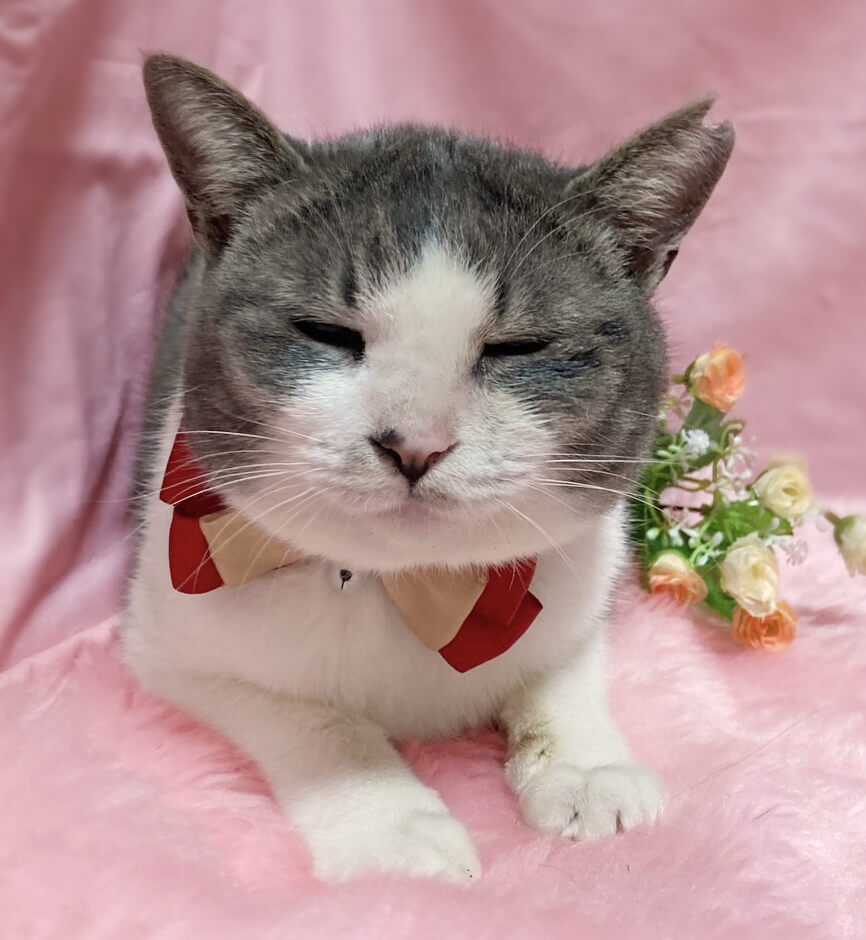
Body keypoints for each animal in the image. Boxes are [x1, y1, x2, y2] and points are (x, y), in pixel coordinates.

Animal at [124, 54, 733, 883]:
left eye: (519, 347)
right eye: (325, 333)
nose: (415, 443)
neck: (420, 591)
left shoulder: (588, 571)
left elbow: (564, 663)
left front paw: (584, 768)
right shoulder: (168, 641)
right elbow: (308, 716)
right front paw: (391, 826)